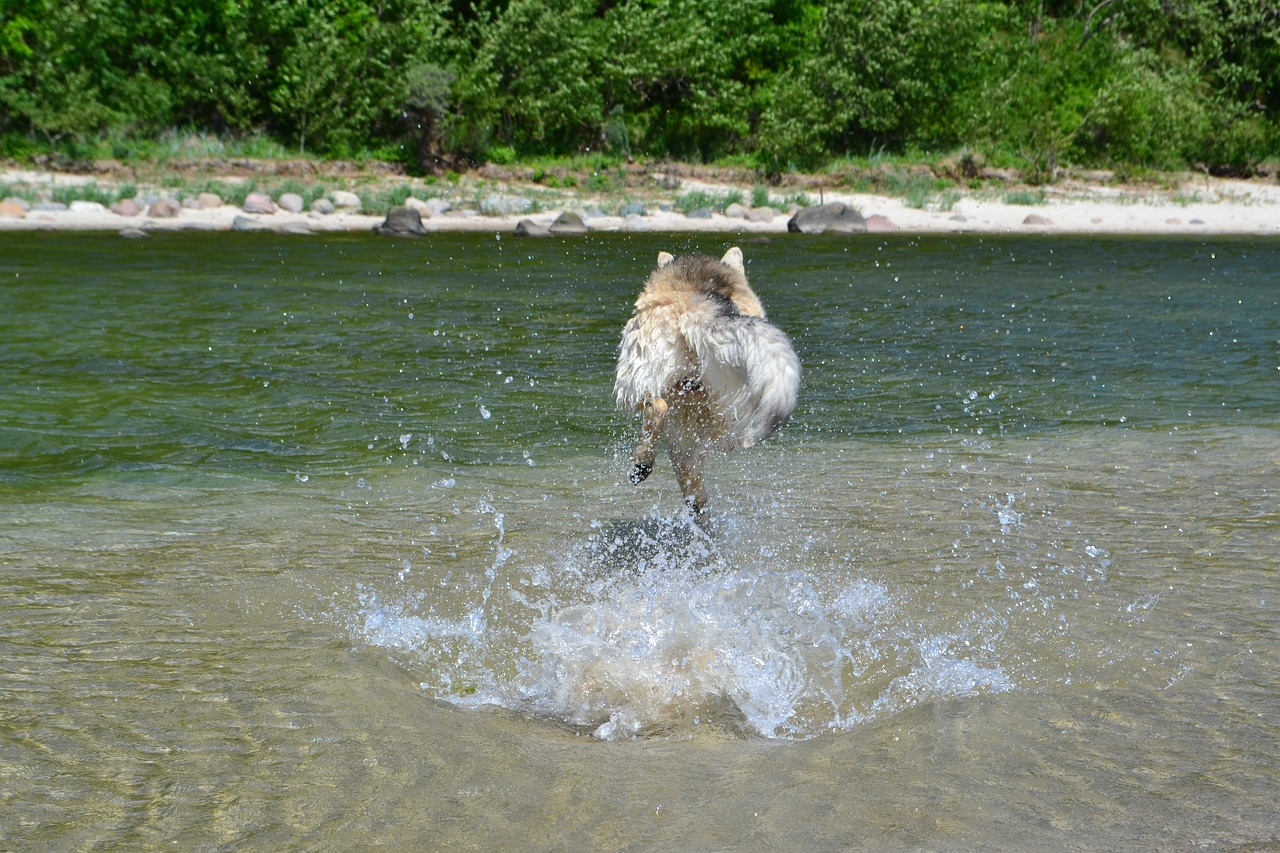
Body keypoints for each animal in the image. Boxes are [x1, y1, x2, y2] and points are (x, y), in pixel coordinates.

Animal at [611, 245, 798, 512]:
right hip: (719, 410)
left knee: (658, 407)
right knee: (700, 465)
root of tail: (700, 305)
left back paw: (642, 465)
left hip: (637, 383)